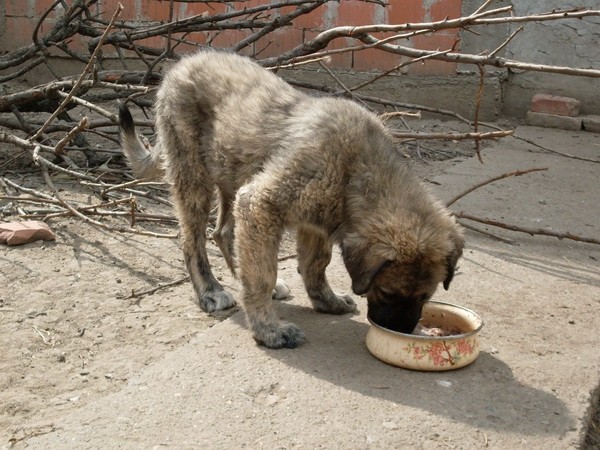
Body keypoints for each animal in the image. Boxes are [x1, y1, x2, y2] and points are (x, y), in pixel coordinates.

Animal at [117, 51, 464, 350]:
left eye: (425, 297)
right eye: (388, 291)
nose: (401, 332)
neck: (356, 170)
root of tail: (179, 66)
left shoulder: (315, 222)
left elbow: (315, 263)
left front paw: (325, 300)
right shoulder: (260, 203)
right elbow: (261, 274)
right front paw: (268, 329)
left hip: (232, 173)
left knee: (224, 233)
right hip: (193, 175)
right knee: (192, 239)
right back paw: (210, 291)